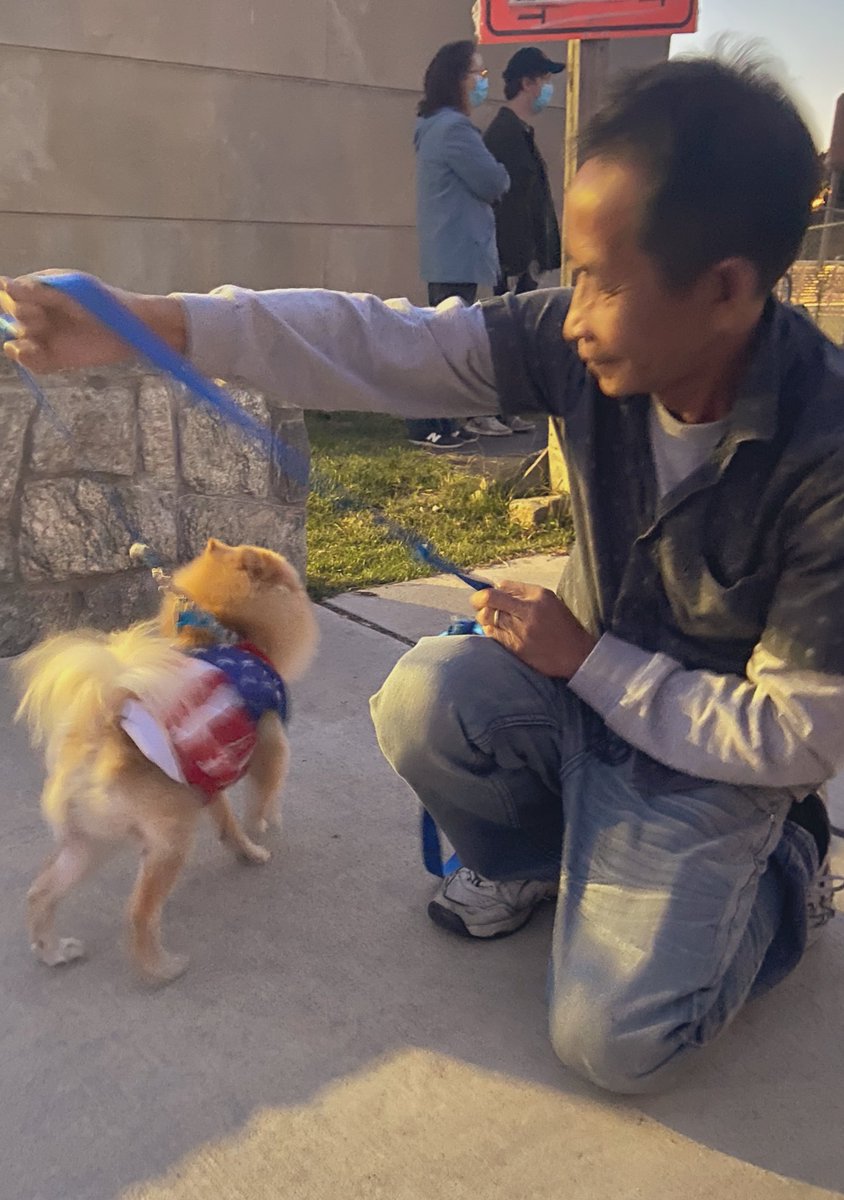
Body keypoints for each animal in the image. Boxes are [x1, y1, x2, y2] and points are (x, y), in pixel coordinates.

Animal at [14, 540, 319, 979]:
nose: (300, 585)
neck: (224, 629)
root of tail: (101, 732)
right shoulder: (271, 744)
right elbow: (264, 793)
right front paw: (264, 824)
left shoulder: (204, 779)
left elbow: (228, 823)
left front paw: (247, 851)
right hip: (168, 841)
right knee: (138, 913)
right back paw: (160, 969)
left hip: (88, 842)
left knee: (41, 893)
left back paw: (53, 951)